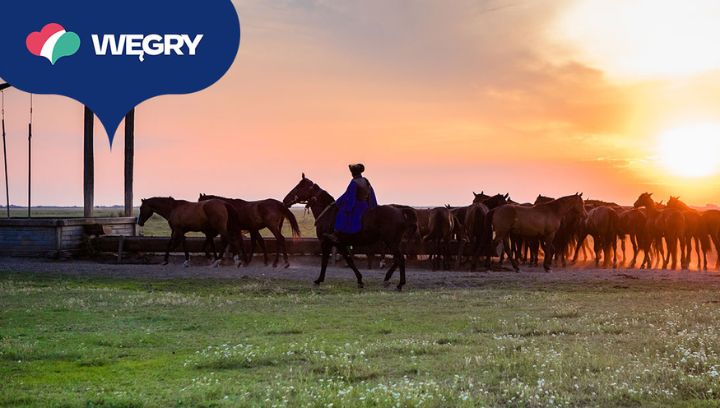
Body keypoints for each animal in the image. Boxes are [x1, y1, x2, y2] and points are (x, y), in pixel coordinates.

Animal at [282, 174, 416, 292]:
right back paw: (388, 279)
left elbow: (326, 261)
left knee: (400, 259)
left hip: (391, 242)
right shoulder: (340, 244)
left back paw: (399, 284)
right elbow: (349, 260)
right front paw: (360, 280)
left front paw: (318, 280)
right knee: (398, 259)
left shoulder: (327, 242)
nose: (285, 200)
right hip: (392, 242)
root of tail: (400, 211)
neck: (327, 213)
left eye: (298, 187)